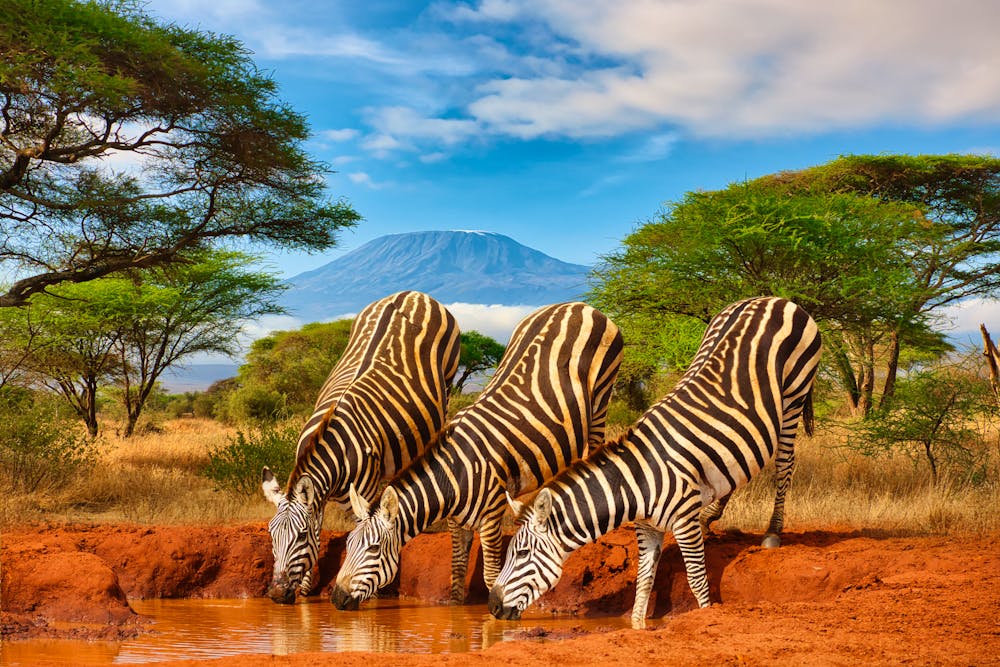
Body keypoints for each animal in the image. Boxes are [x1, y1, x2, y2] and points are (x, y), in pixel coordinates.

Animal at [260, 291, 460, 604]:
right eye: (270, 535)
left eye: (300, 535)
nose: (278, 594)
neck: (334, 447)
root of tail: (412, 293)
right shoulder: (318, 497)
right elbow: (320, 529)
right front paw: (305, 587)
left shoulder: (361, 494)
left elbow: (365, 535)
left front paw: (370, 592)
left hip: (449, 382)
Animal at [330, 302, 624, 610]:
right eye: (348, 544)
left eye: (374, 548)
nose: (337, 599)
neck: (454, 475)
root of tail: (578, 305)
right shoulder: (456, 521)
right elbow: (457, 571)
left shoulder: (493, 516)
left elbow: (491, 576)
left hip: (601, 397)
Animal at [488, 296, 822, 629]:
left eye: (522, 553)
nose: (492, 606)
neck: (637, 482)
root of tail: (773, 298)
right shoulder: (647, 528)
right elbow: (644, 580)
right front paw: (637, 625)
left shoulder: (684, 521)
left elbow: (697, 579)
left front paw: (705, 615)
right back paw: (712, 516)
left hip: (794, 396)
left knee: (784, 465)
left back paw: (772, 533)